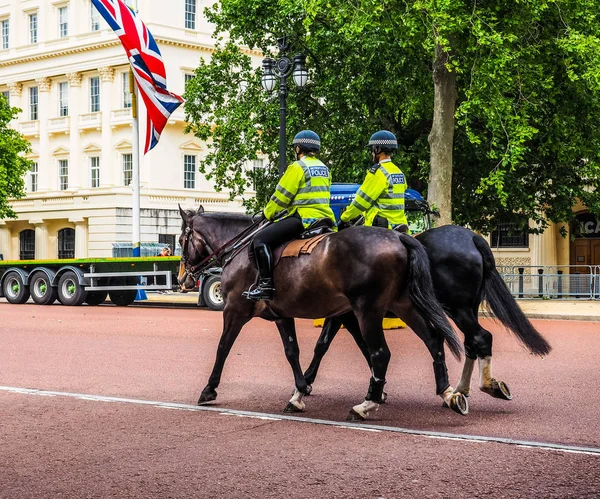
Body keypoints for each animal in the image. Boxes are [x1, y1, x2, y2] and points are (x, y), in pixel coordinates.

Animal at [178, 207, 468, 422]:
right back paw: (448, 393)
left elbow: (223, 347)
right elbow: (293, 351)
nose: (183, 279)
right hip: (403, 305)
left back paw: (365, 405)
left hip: (369, 310)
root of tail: (399, 238)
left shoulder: (234, 310)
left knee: (381, 353)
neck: (241, 250)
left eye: (181, 240)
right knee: (432, 339)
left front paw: (209, 389)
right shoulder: (285, 315)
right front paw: (299, 391)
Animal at [302, 225, 552, 408]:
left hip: (457, 308)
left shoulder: (349, 314)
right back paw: (460, 390)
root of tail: (472, 237)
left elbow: (329, 345)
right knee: (471, 342)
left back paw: (481, 386)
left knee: (480, 338)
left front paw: (306, 382)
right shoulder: (348, 314)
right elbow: (337, 345)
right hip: (467, 308)